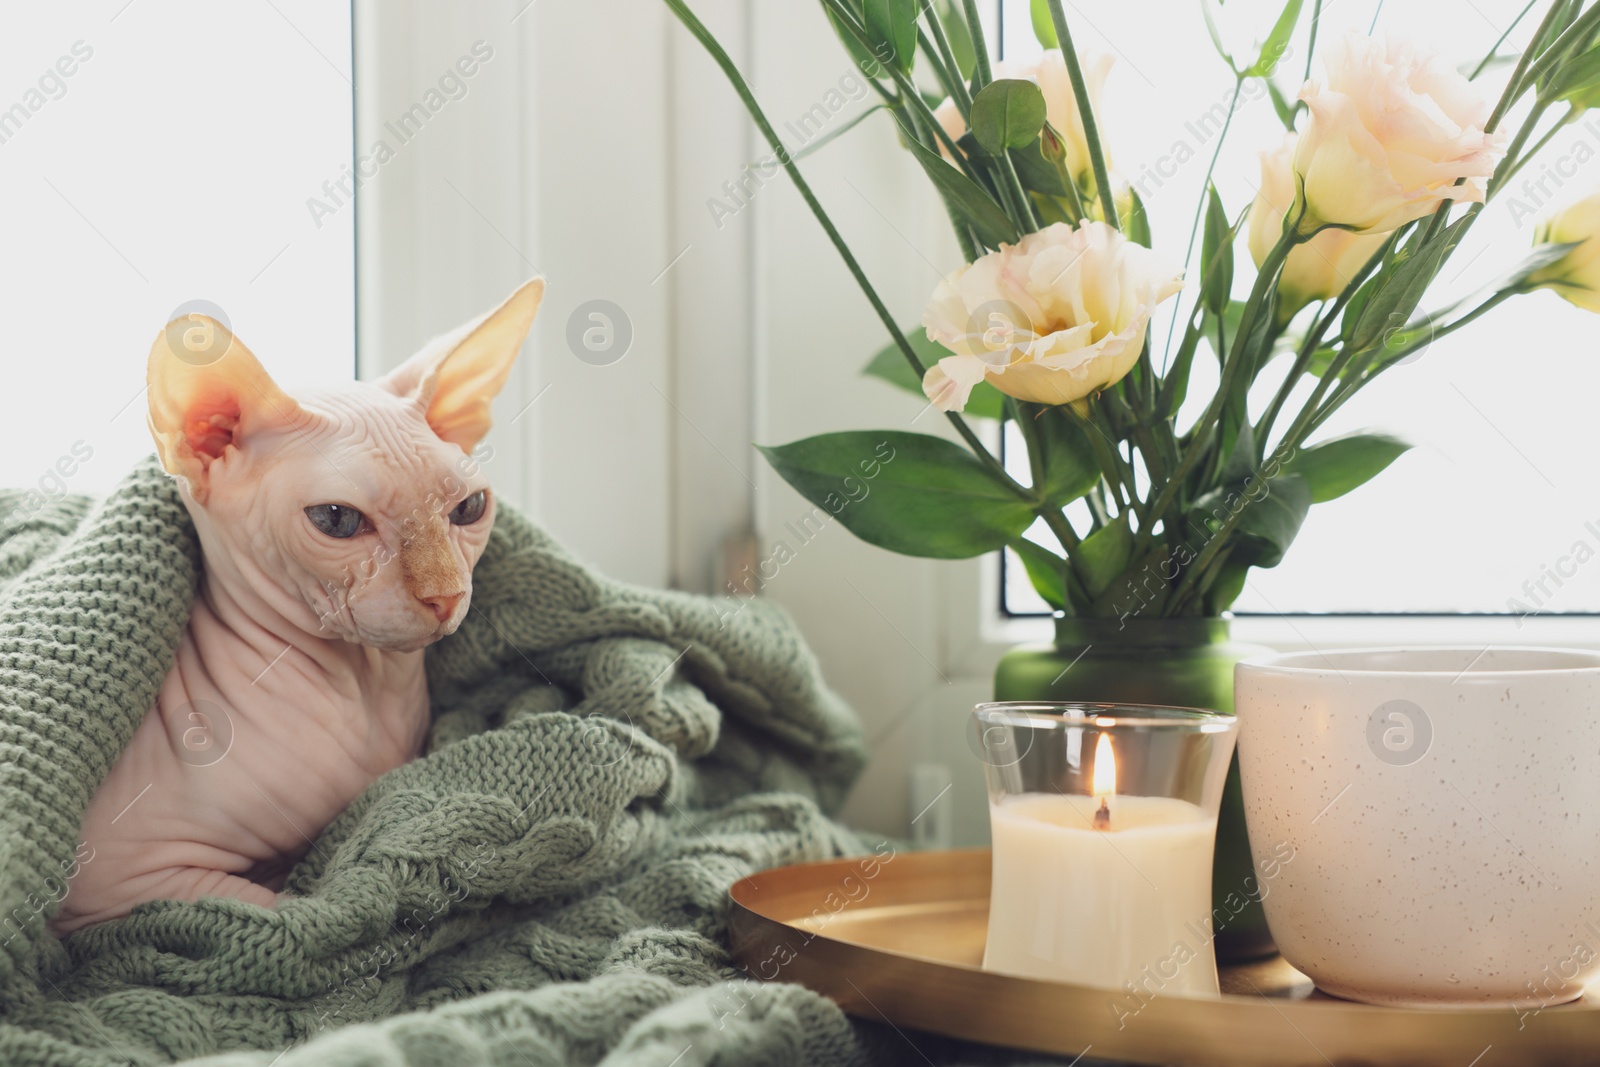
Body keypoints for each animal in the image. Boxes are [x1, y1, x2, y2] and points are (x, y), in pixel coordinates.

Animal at [53, 279, 547, 927]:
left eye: (470, 508)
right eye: (336, 519)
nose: (445, 595)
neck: (366, 690)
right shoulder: (112, 881)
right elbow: (290, 909)